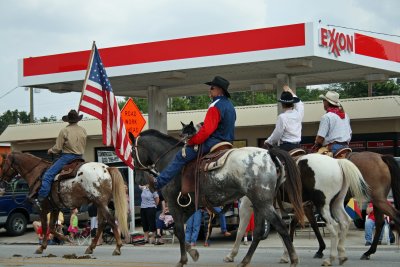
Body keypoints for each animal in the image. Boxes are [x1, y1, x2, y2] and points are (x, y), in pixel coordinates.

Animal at [0, 152, 128, 256]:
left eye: (2, 164)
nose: (2, 182)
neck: (36, 173)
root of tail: (107, 167)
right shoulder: (55, 209)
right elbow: (51, 228)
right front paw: (63, 240)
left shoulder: (42, 208)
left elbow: (46, 227)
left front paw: (42, 247)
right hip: (100, 204)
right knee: (102, 223)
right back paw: (90, 248)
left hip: (100, 203)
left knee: (110, 220)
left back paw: (117, 248)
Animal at [131, 129, 304, 266]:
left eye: (132, 152)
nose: (139, 180)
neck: (170, 159)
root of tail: (269, 155)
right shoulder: (189, 206)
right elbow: (178, 230)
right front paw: (193, 252)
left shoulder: (174, 204)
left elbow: (179, 231)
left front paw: (183, 260)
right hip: (258, 203)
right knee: (259, 232)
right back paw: (245, 261)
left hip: (262, 203)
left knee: (281, 227)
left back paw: (293, 259)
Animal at [225, 153, 368, 267]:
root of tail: (337, 162)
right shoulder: (273, 208)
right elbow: (281, 230)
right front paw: (286, 256)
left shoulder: (247, 205)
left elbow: (240, 230)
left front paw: (231, 255)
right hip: (336, 203)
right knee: (345, 222)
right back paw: (342, 255)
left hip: (323, 206)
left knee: (334, 227)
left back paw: (330, 259)